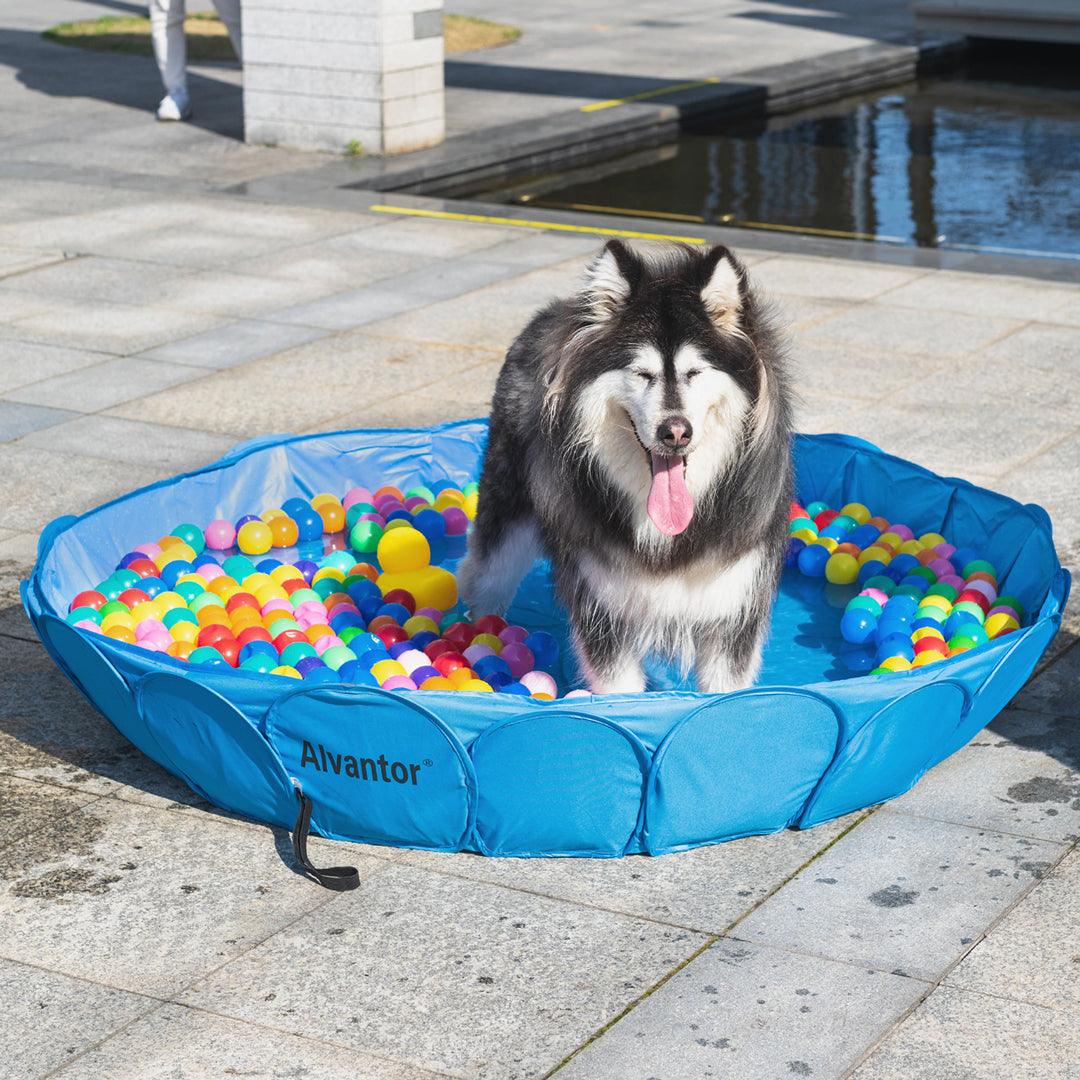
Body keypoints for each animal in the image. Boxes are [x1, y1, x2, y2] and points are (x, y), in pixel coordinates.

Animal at [455, 238, 794, 691]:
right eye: (642, 373)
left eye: (694, 372)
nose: (675, 432)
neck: (664, 534)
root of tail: (555, 311)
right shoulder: (604, 608)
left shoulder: (733, 605)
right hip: (507, 508)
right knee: (484, 575)